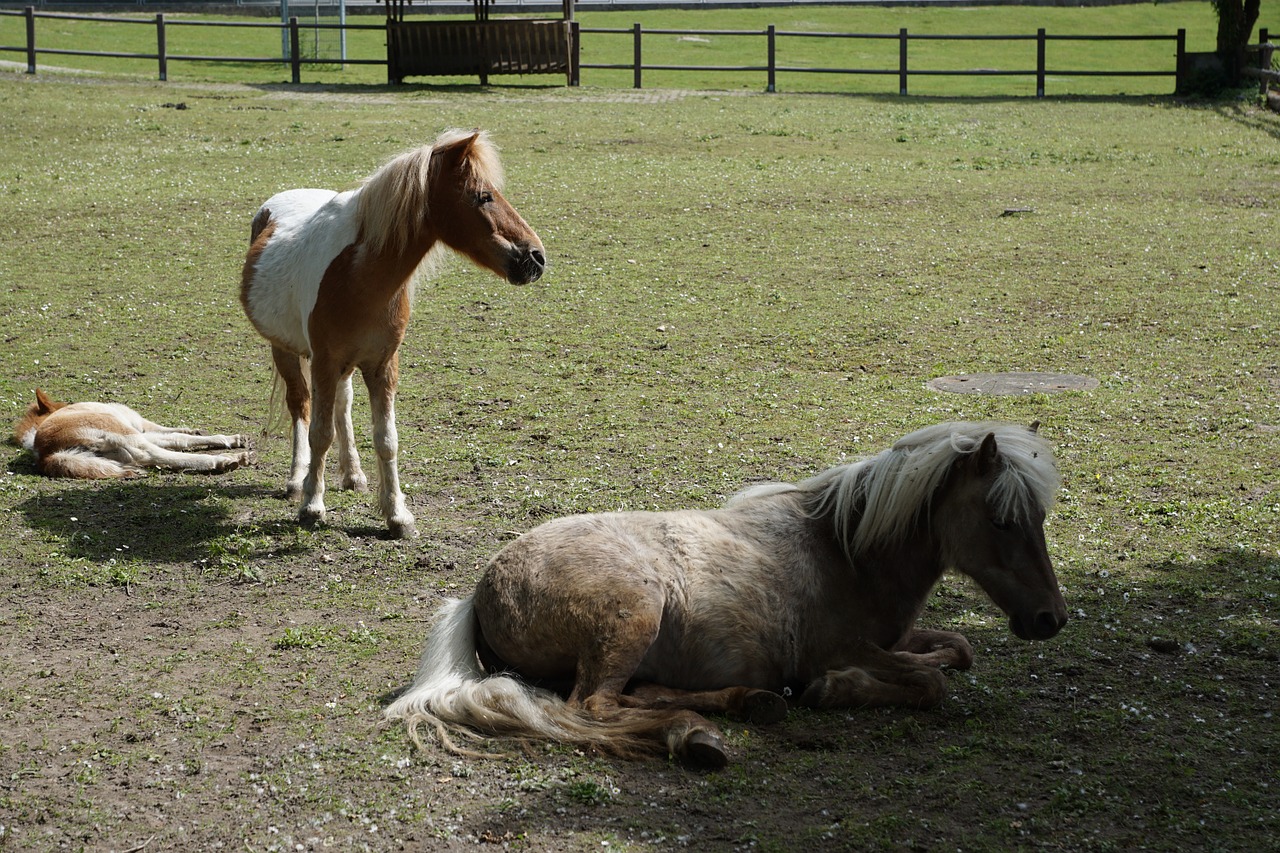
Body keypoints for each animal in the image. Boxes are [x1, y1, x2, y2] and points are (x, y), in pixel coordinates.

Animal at [240, 126, 545, 537]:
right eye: (483, 196)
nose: (536, 257)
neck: (359, 273)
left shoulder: (382, 365)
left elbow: (386, 439)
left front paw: (396, 515)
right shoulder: (324, 360)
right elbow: (320, 433)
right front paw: (312, 506)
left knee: (342, 405)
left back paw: (352, 474)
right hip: (286, 351)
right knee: (300, 407)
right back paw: (296, 479)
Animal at [384, 420, 1064, 763]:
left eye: (1039, 516)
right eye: (1002, 520)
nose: (1050, 618)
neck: (847, 551)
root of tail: (481, 589)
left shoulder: (895, 635)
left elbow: (957, 650)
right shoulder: (835, 647)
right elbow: (929, 681)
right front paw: (838, 689)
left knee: (638, 695)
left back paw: (742, 705)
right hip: (634, 613)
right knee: (593, 707)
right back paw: (697, 735)